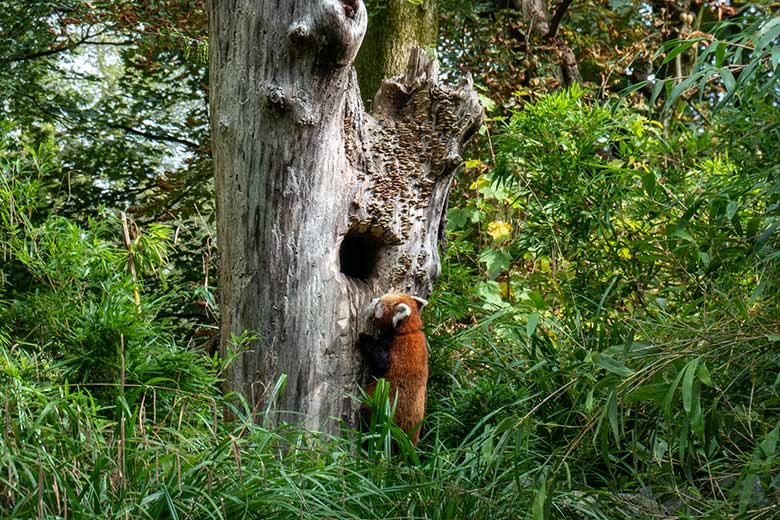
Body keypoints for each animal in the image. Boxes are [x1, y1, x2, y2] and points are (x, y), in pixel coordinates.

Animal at [358, 292, 430, 442]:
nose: (371, 299)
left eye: (379, 303)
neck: (409, 330)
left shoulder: (396, 347)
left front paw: (363, 337)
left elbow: (381, 364)